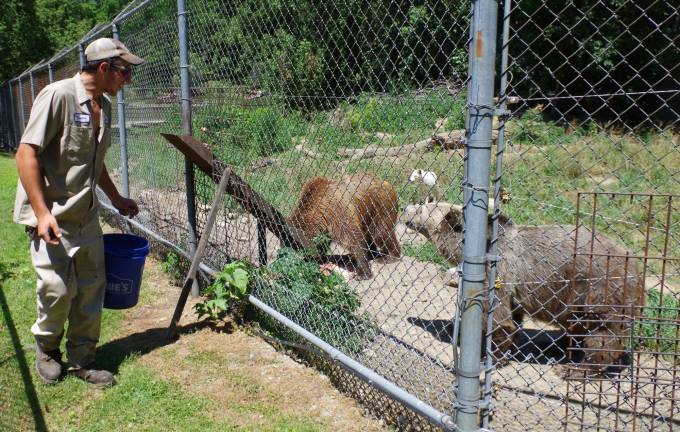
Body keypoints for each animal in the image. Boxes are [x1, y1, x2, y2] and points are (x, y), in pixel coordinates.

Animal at [402, 202, 644, 372]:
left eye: (422, 206)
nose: (404, 207)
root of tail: (636, 264)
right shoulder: (513, 290)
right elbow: (513, 318)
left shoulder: (498, 272)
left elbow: (499, 320)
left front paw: (488, 356)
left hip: (600, 289)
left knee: (602, 334)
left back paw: (575, 368)